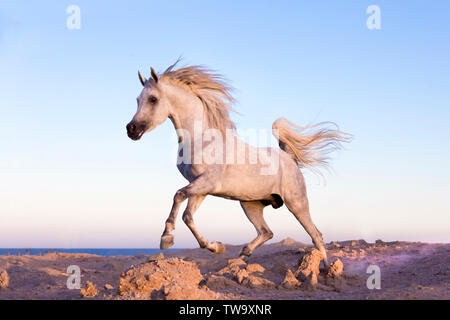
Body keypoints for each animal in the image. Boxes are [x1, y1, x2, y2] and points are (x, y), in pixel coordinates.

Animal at [126, 61, 352, 266]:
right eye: (137, 100)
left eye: (153, 99)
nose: (131, 129)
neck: (201, 140)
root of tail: (289, 158)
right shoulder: (200, 188)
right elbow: (188, 216)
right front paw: (216, 247)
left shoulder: (206, 182)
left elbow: (178, 195)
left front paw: (166, 238)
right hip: (250, 204)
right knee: (266, 232)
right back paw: (243, 255)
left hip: (297, 204)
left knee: (316, 234)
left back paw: (326, 269)